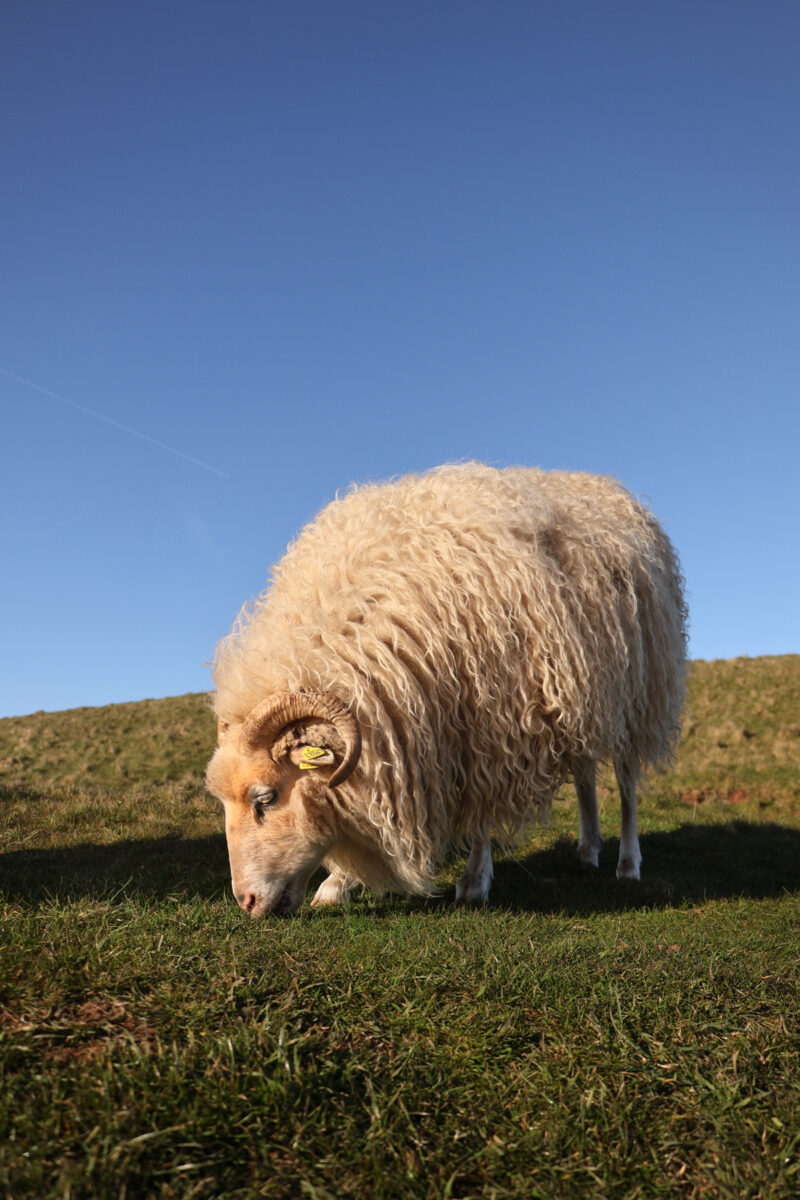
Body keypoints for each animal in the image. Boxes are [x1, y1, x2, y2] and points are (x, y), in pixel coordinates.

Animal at [206, 462, 688, 915]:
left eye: (265, 798)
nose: (247, 901)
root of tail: (602, 484)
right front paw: (336, 884)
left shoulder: (492, 723)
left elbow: (480, 810)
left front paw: (474, 880)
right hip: (582, 690)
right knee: (586, 771)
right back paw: (588, 850)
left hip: (638, 688)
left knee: (626, 779)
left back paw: (628, 862)